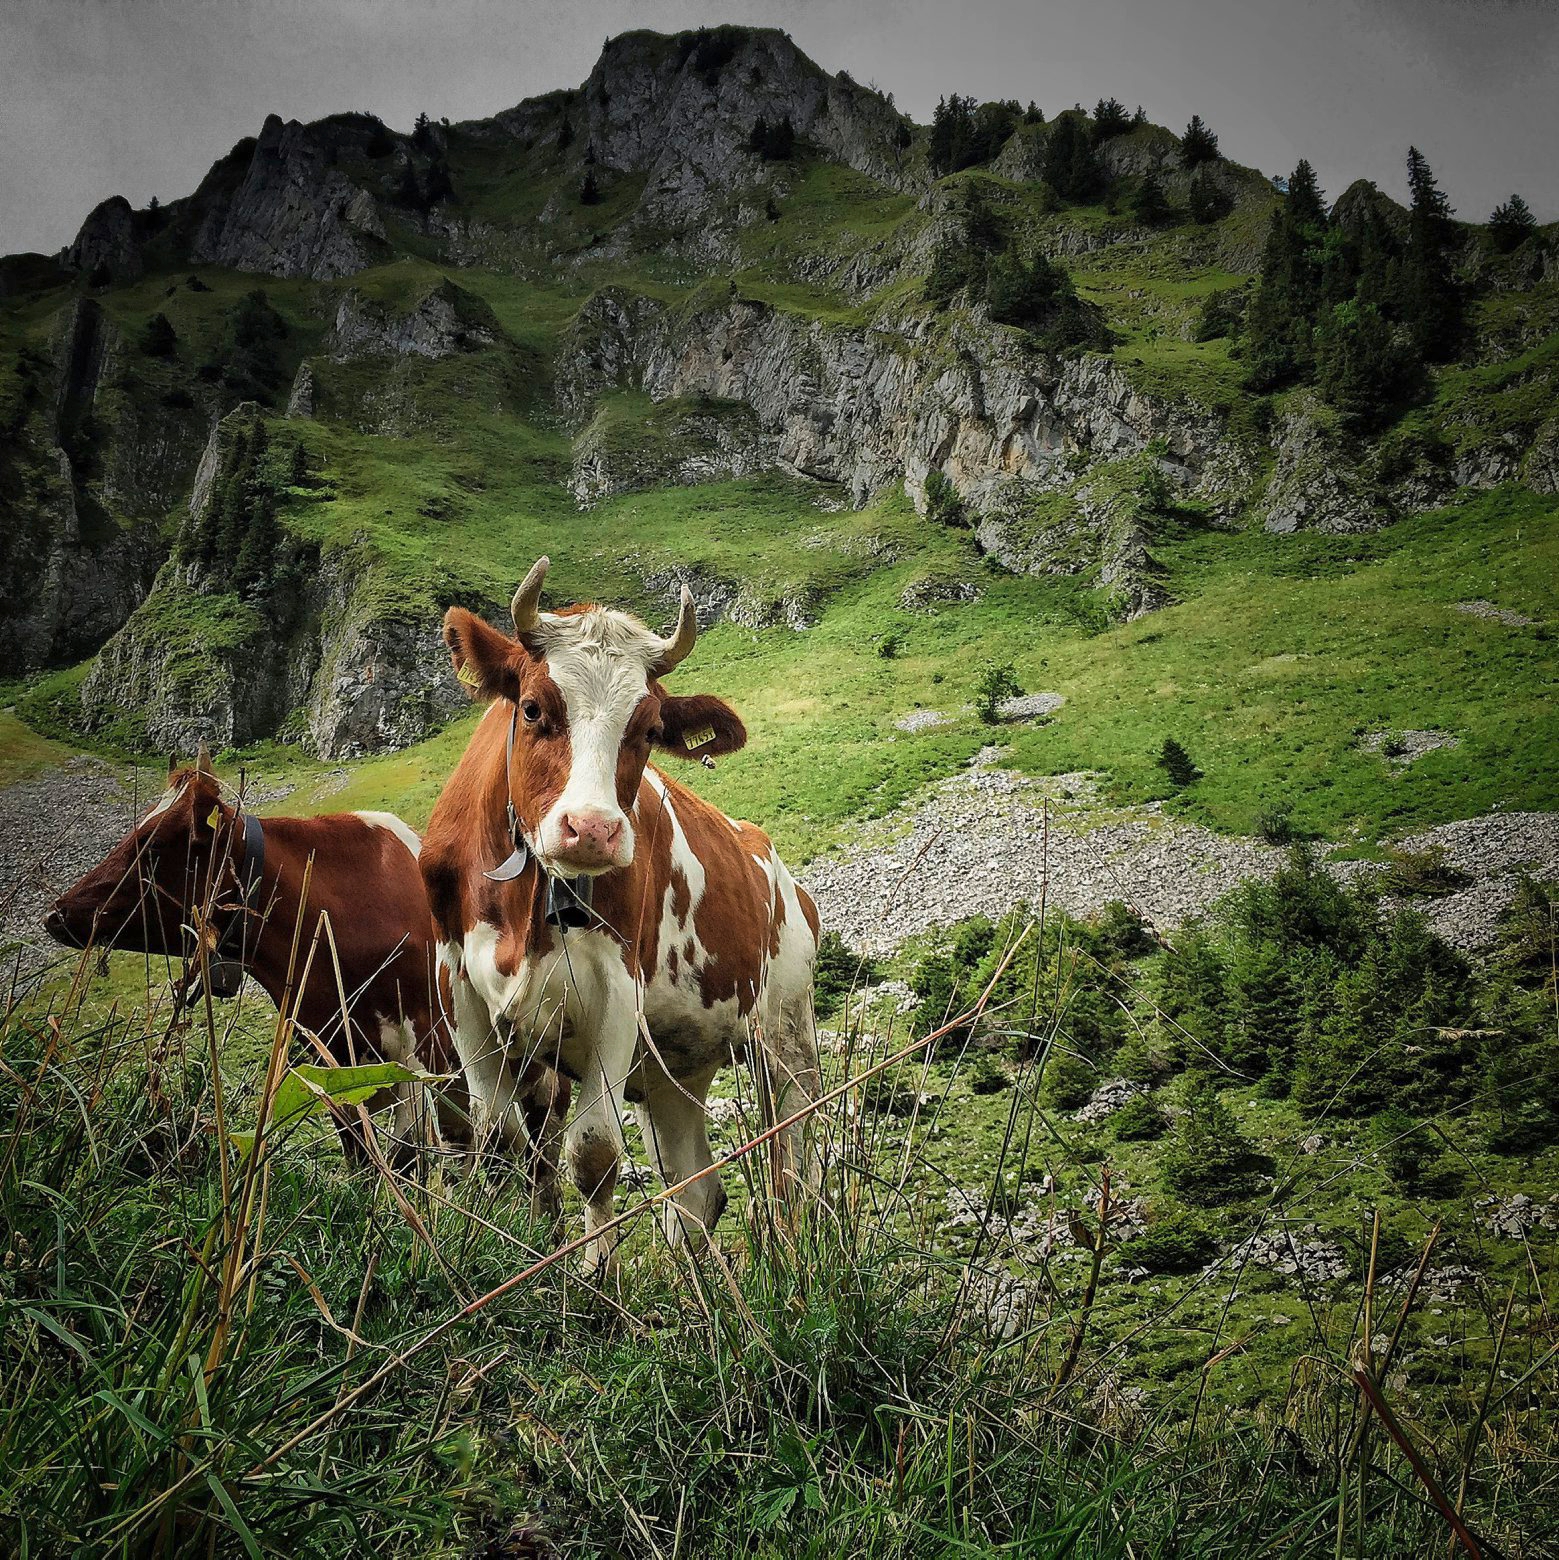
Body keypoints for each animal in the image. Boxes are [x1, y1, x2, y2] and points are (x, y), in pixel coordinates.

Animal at [44, 748, 574, 1173]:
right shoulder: (329, 1051)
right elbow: (360, 1149)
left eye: (152, 846)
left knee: (538, 1147)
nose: (58, 913)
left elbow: (412, 1153)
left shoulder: (425, 1043)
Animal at [421, 558, 823, 1266]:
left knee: (791, 1168)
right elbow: (498, 1139)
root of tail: (771, 858)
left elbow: (595, 1154)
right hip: (674, 1069)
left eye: (649, 731)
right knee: (695, 1195)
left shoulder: (616, 990)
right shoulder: (459, 981)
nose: (593, 830)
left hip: (785, 1034)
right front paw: (523, 1253)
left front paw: (595, 1280)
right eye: (533, 708)